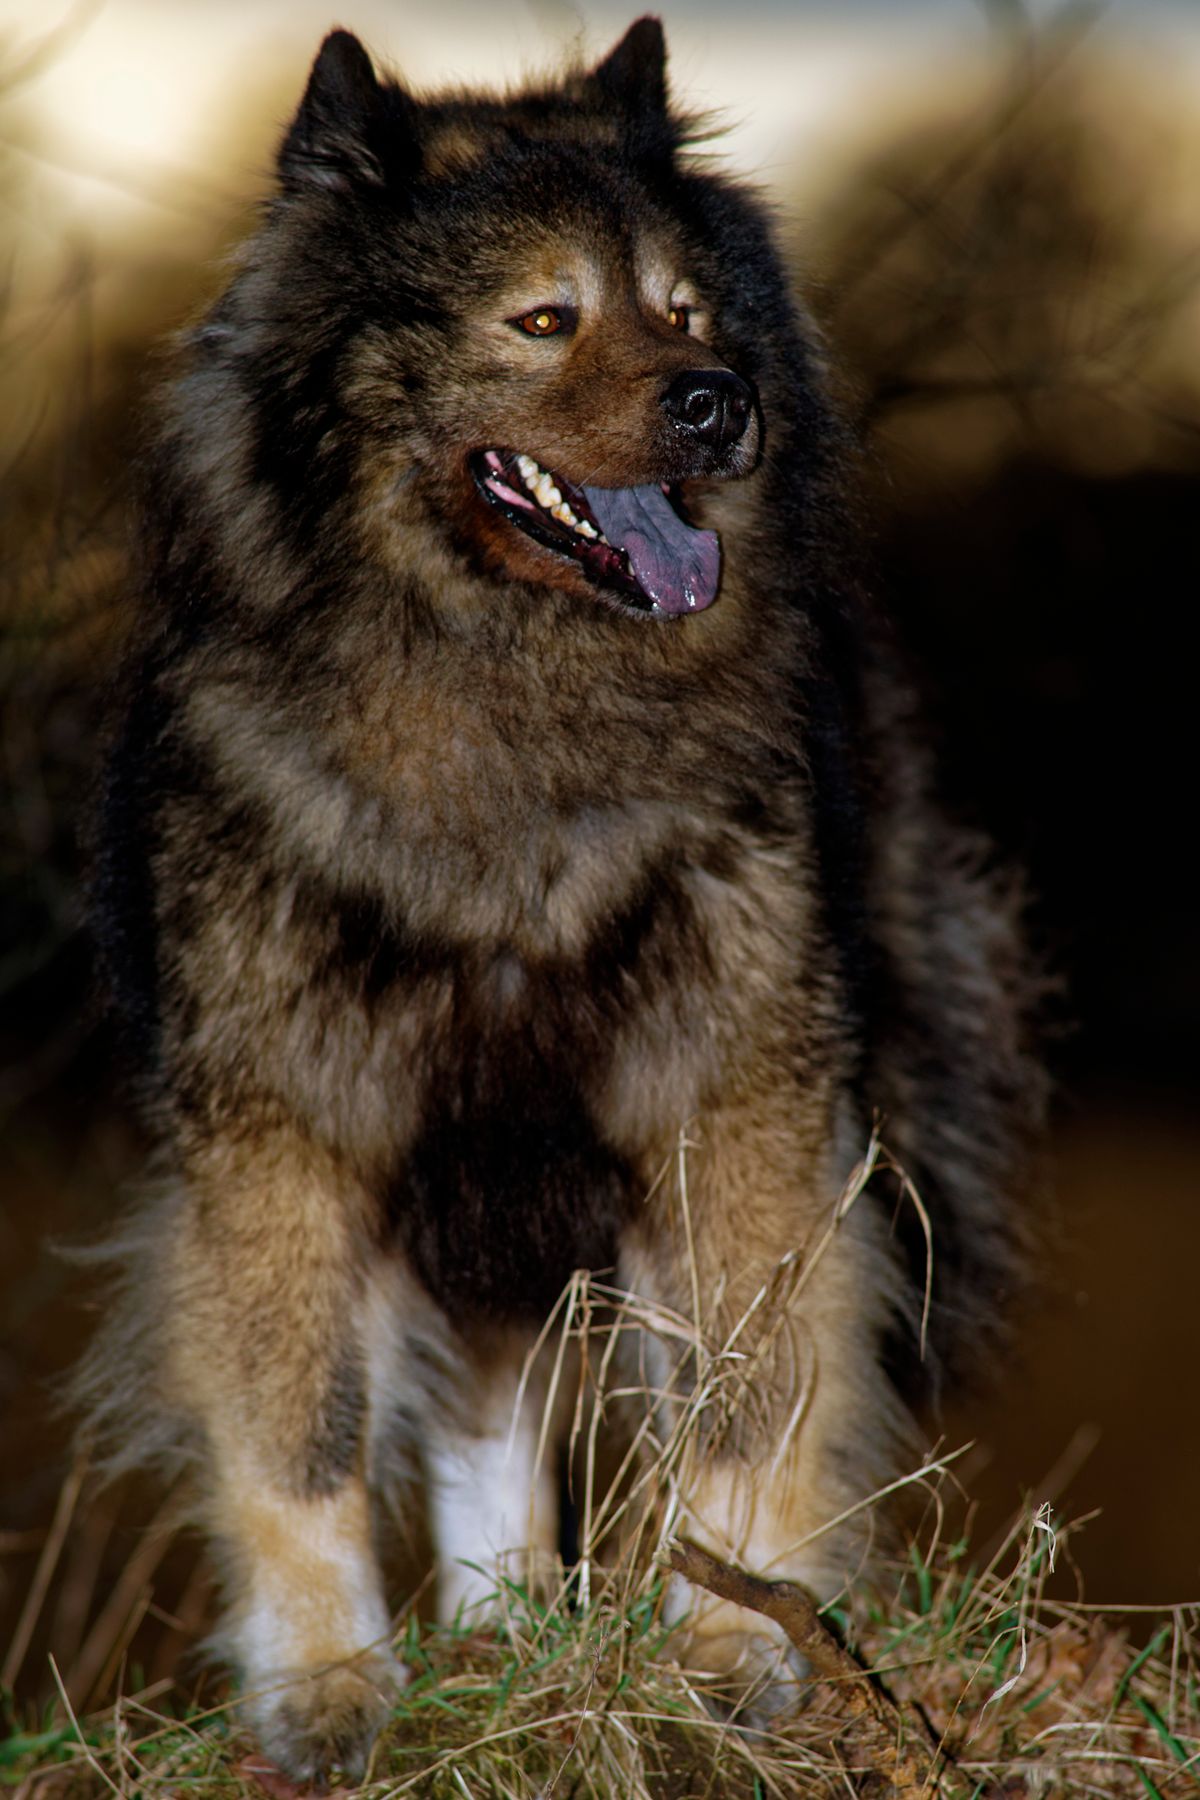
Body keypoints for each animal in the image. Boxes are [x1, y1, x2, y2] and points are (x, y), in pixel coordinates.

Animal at [82, 14, 1043, 1785]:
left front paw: (733, 1647)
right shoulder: (286, 1134)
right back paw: (501, 1635)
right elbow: (302, 1428)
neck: (514, 706)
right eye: (544, 320)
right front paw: (329, 1686)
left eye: (688, 314)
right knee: (476, 1408)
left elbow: (745, 1397)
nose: (722, 404)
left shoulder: (730, 1102)